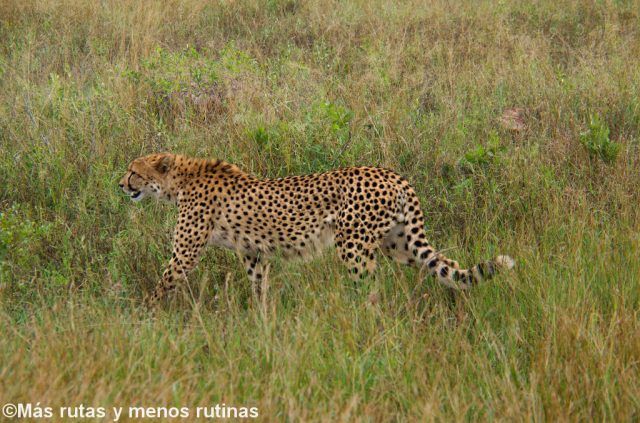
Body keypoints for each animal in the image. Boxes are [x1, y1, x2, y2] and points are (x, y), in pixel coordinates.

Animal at [119, 153, 514, 306]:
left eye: (133, 171)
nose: (120, 185)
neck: (179, 181)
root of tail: (392, 174)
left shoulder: (184, 254)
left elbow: (163, 283)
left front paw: (145, 315)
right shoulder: (253, 253)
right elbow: (259, 286)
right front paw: (262, 318)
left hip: (353, 244)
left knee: (369, 289)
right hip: (399, 243)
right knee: (446, 267)